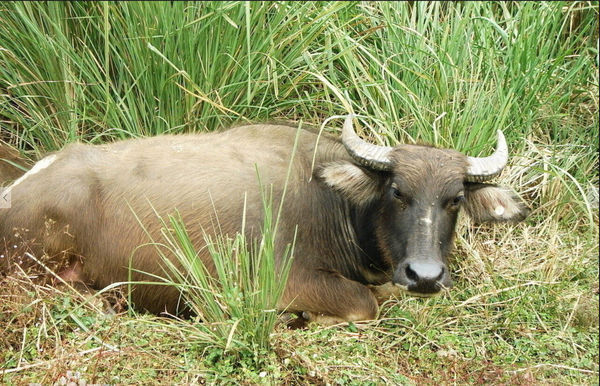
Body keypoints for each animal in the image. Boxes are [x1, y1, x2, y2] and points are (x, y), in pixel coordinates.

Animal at [0, 116, 528, 324]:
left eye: (455, 199)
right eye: (397, 191)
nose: (425, 276)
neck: (334, 205)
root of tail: (16, 190)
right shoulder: (287, 281)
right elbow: (366, 303)